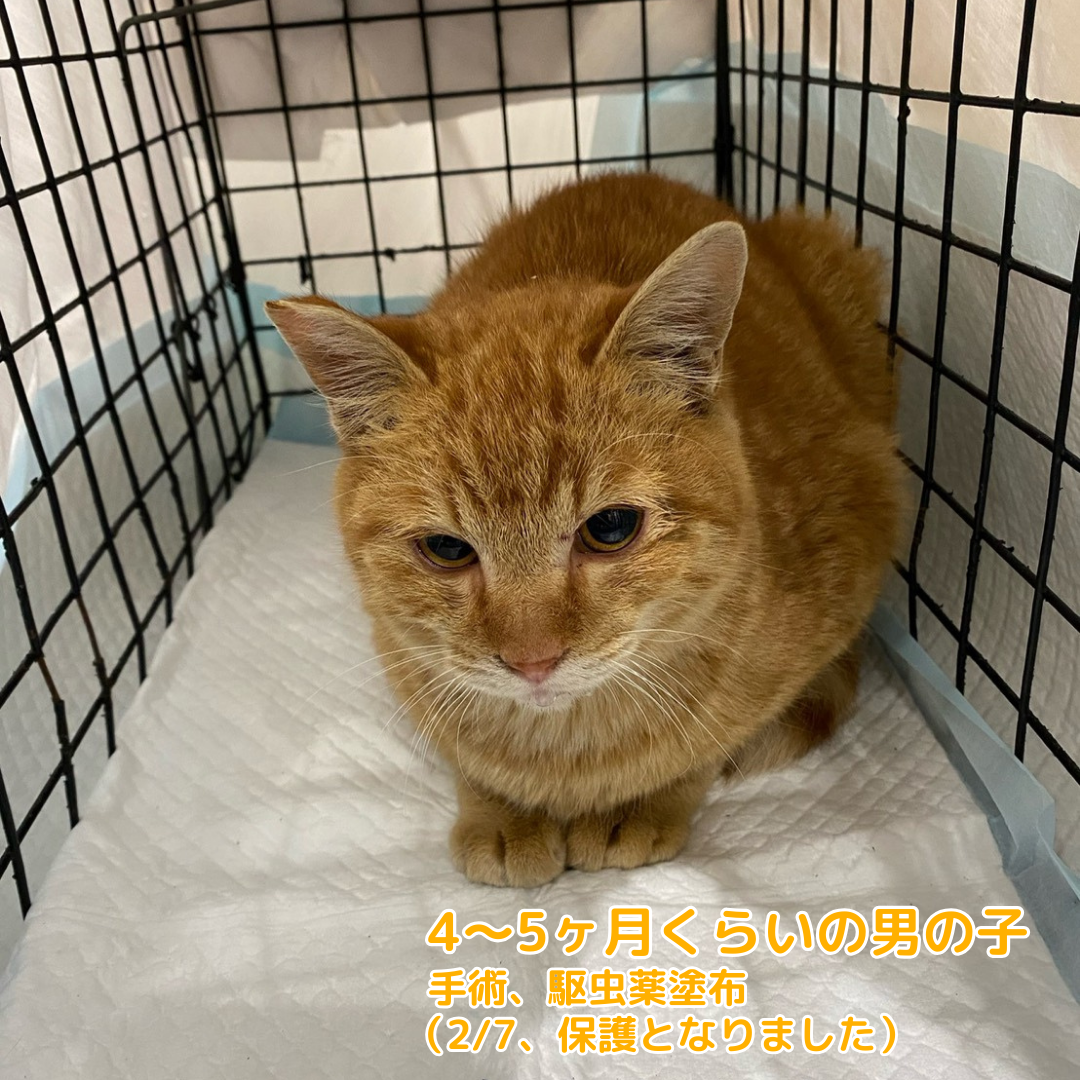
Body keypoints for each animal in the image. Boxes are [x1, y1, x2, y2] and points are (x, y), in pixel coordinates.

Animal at [266, 172, 904, 887]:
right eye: (447, 549)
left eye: (611, 527)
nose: (532, 662)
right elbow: (465, 755)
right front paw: (501, 812)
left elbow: (709, 746)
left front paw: (644, 804)